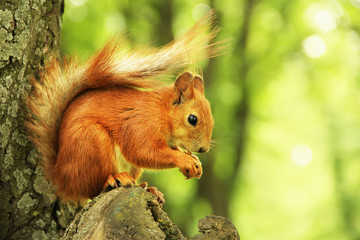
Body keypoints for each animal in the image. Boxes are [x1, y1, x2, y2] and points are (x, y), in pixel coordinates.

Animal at [26, 13, 219, 204]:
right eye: (192, 119)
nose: (203, 149)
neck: (162, 112)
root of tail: (61, 177)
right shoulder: (141, 125)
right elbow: (144, 152)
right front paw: (185, 159)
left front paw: (195, 161)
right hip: (92, 142)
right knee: (93, 188)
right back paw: (115, 178)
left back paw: (147, 188)